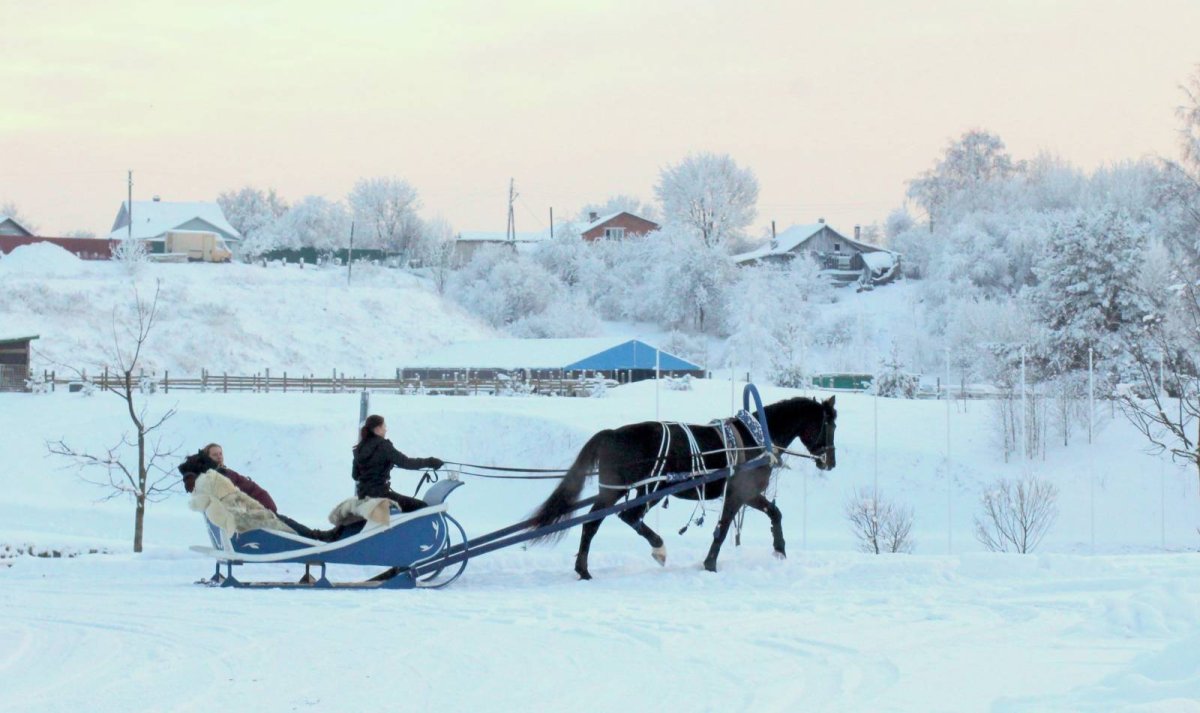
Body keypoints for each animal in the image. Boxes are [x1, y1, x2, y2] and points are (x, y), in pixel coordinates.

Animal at [529, 396, 838, 579]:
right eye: (830, 425)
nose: (831, 463)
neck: (756, 437)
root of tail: (612, 434)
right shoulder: (739, 492)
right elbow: (723, 528)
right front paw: (710, 564)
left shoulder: (749, 494)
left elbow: (775, 513)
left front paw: (779, 551)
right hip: (637, 490)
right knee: (620, 518)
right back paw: (655, 549)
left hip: (628, 490)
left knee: (596, 522)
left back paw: (583, 569)